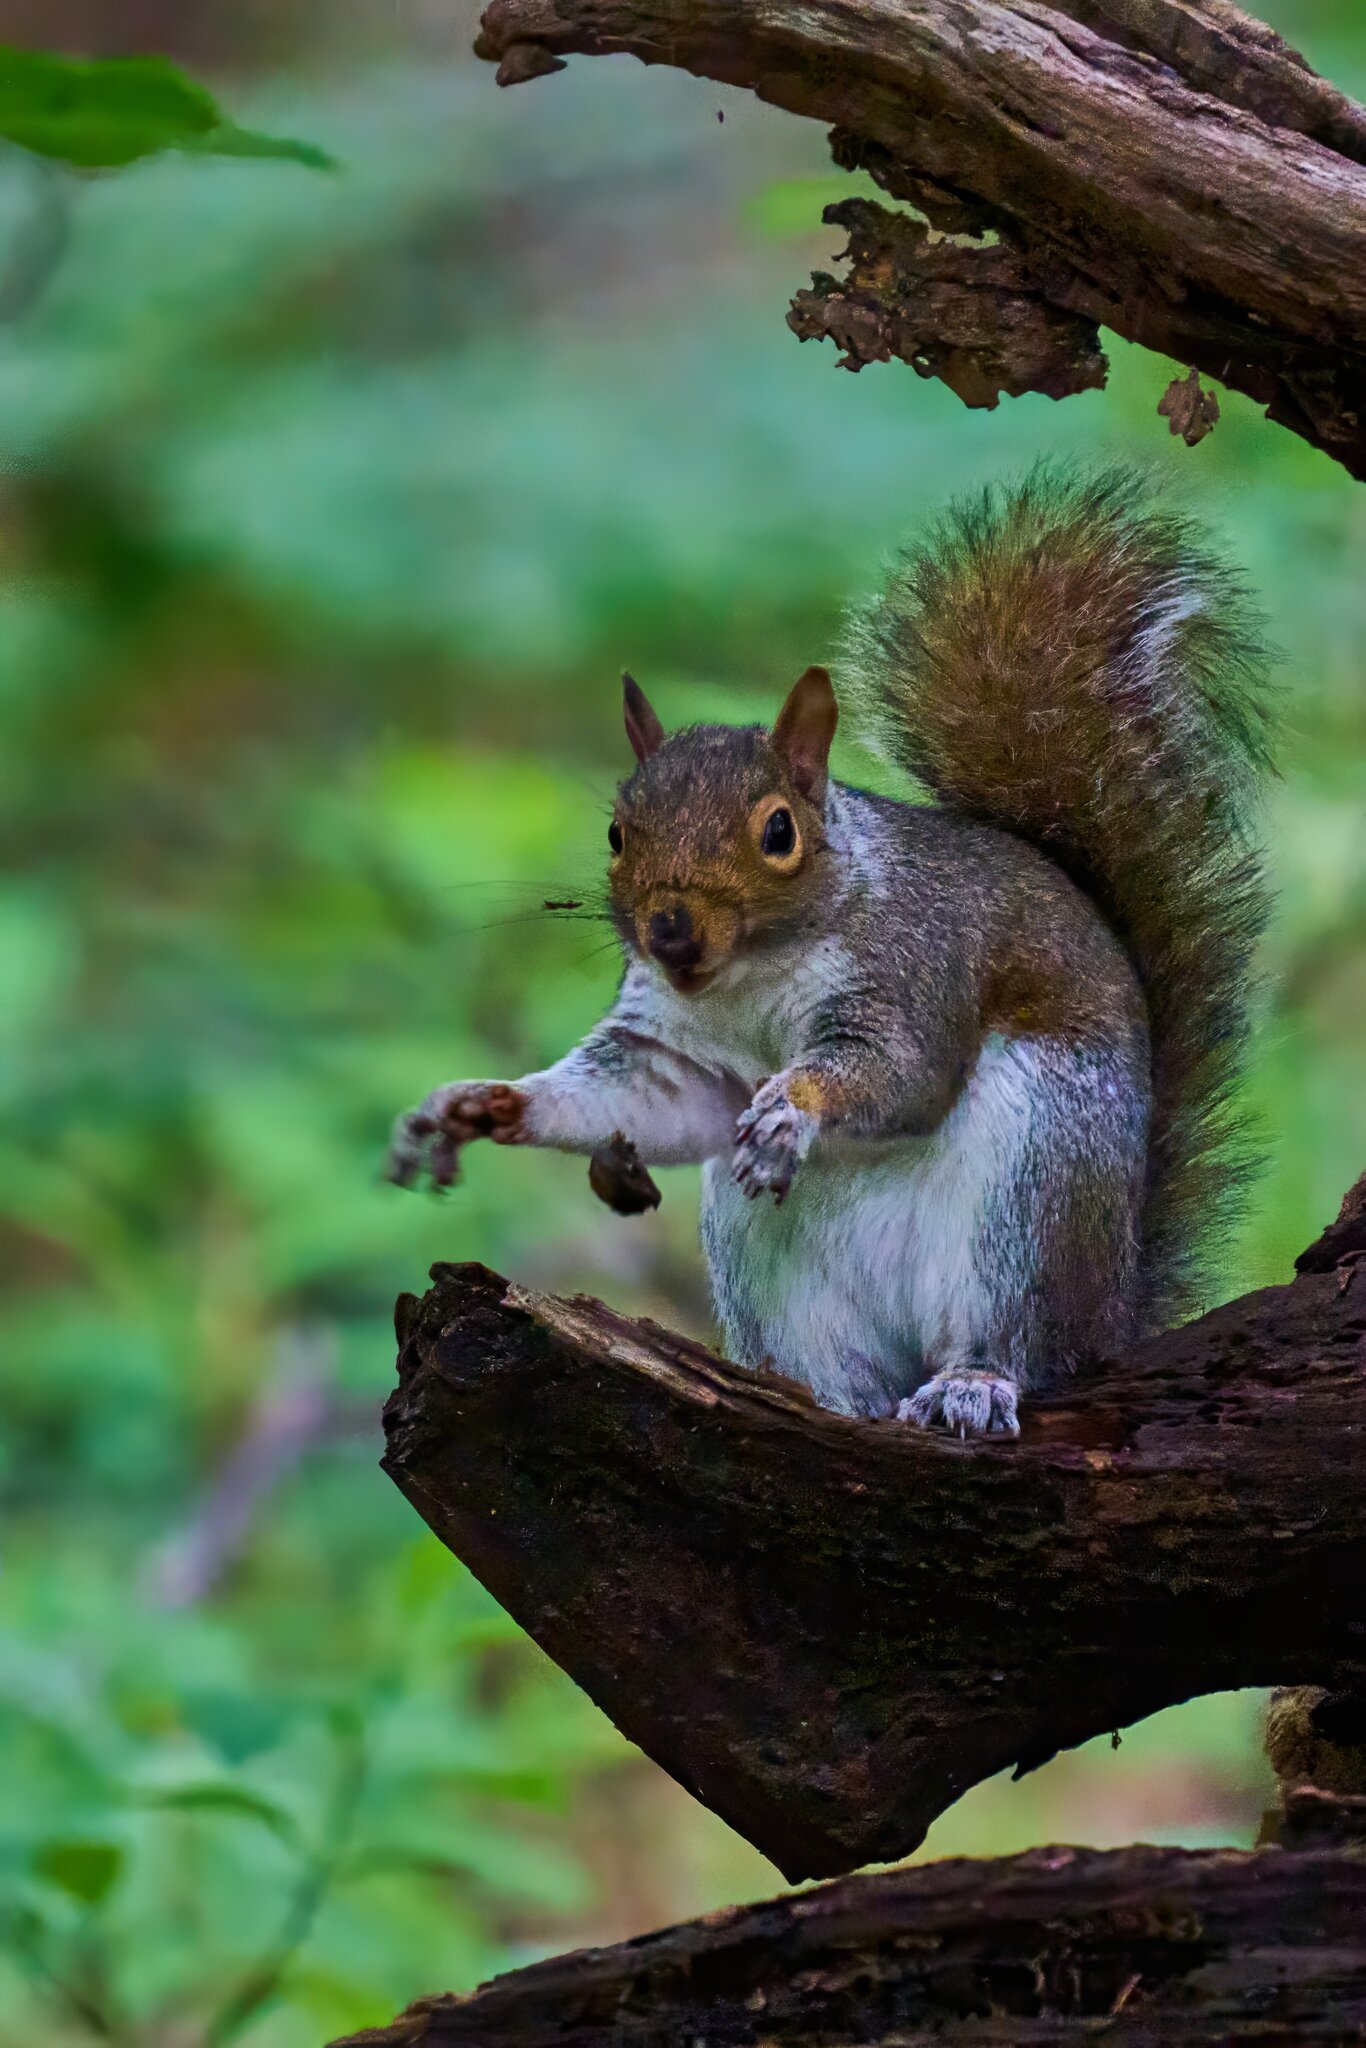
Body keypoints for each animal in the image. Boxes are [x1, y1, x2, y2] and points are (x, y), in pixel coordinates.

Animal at [389, 468, 1277, 1433]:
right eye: (619, 833)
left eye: (779, 831)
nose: (670, 929)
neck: (747, 979)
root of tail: (1112, 1315)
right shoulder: (671, 1048)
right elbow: (653, 1100)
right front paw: (479, 1106)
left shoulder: (916, 967)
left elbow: (901, 1071)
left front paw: (794, 1106)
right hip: (770, 1260)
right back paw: (813, 1399)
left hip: (1038, 1184)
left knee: (1016, 1338)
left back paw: (972, 1383)